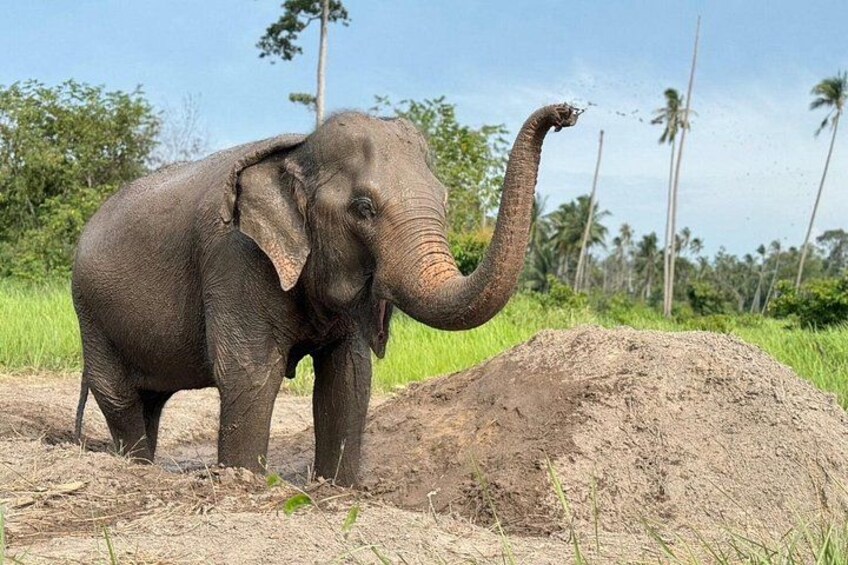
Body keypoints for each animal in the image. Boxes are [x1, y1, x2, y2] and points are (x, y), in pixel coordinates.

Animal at [71, 103, 579, 486]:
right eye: (364, 208)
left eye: (446, 200)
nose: (567, 114)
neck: (298, 152)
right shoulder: (235, 259)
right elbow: (251, 372)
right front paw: (245, 481)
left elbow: (349, 377)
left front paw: (338, 489)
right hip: (89, 310)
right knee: (118, 395)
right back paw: (135, 468)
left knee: (151, 400)